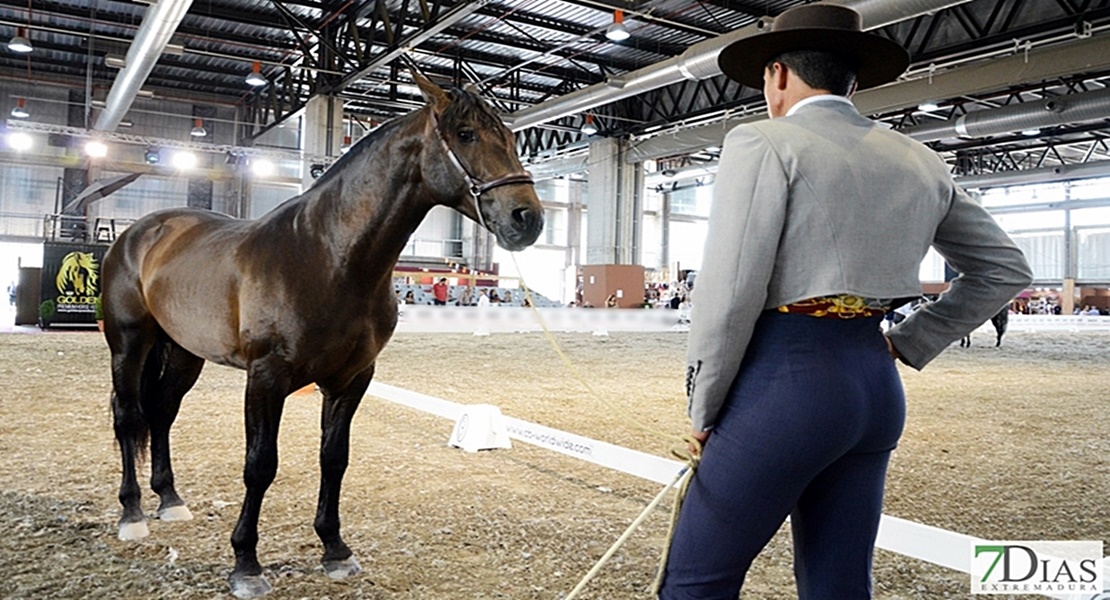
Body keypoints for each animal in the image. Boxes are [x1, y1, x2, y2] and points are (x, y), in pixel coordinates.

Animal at [99, 73, 541, 594]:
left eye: (511, 137)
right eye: (466, 134)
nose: (527, 219)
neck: (328, 256)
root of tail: (142, 231)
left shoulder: (352, 379)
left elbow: (334, 458)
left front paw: (335, 549)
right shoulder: (266, 378)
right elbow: (260, 465)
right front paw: (246, 563)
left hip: (185, 352)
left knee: (162, 413)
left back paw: (170, 501)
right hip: (129, 343)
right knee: (129, 418)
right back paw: (132, 514)